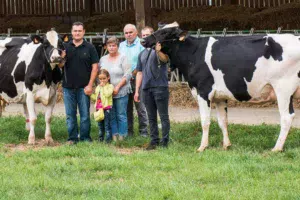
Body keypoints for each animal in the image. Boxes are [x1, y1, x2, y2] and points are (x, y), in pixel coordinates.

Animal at [141, 21, 300, 152]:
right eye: (158, 29)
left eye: (165, 33)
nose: (143, 40)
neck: (193, 53)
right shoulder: (220, 97)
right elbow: (222, 121)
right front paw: (226, 145)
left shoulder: (203, 91)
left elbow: (205, 121)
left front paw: (202, 146)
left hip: (283, 88)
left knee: (286, 117)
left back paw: (277, 148)